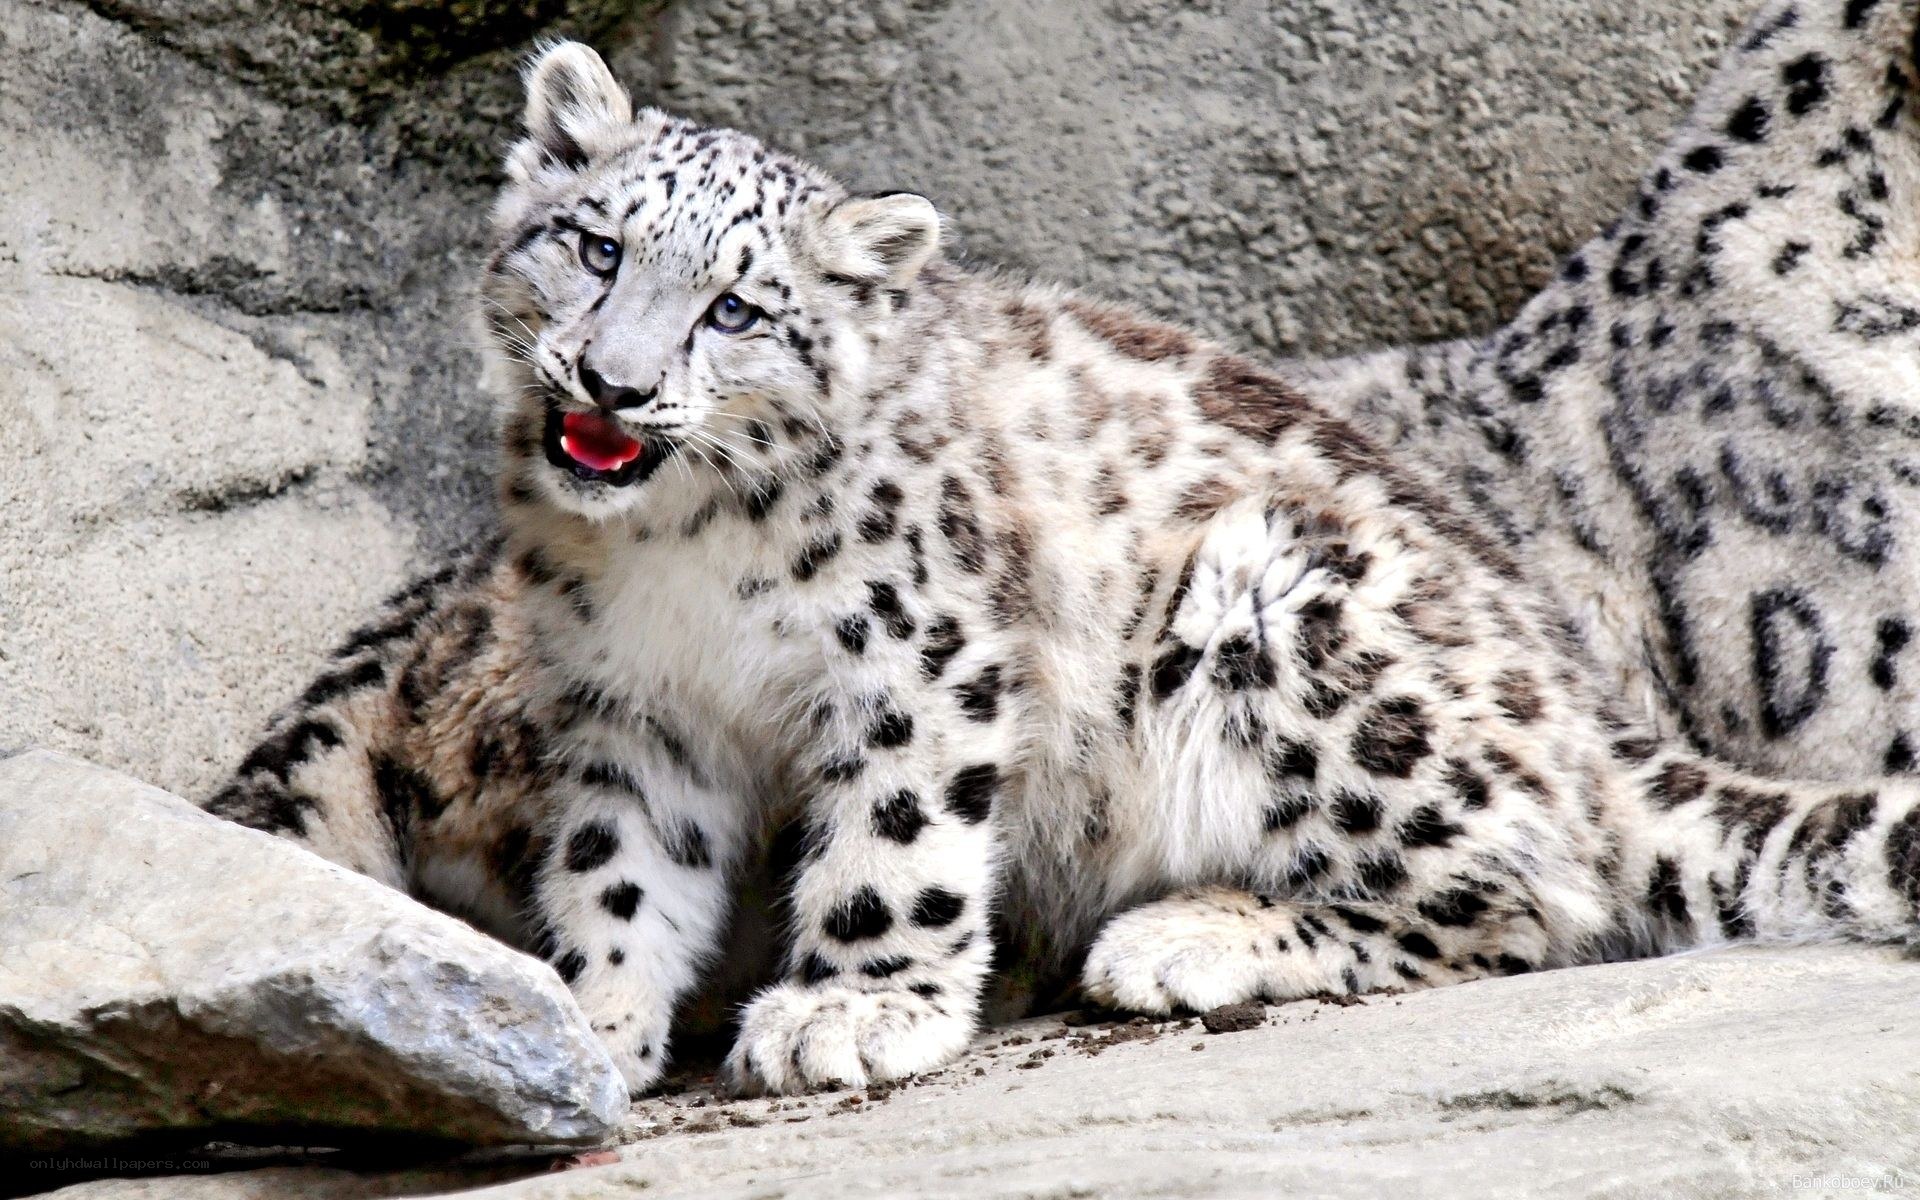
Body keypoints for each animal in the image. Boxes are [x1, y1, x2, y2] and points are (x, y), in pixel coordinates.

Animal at [208, 22, 1920, 1100]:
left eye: (739, 309)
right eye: (597, 244)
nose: (614, 387)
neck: (678, 560)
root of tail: (1585, 714)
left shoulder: (920, 654)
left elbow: (894, 841)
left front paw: (848, 1014)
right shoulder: (633, 709)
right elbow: (625, 869)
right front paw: (593, 1017)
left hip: (1284, 606)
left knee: (1525, 895)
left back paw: (1186, 937)